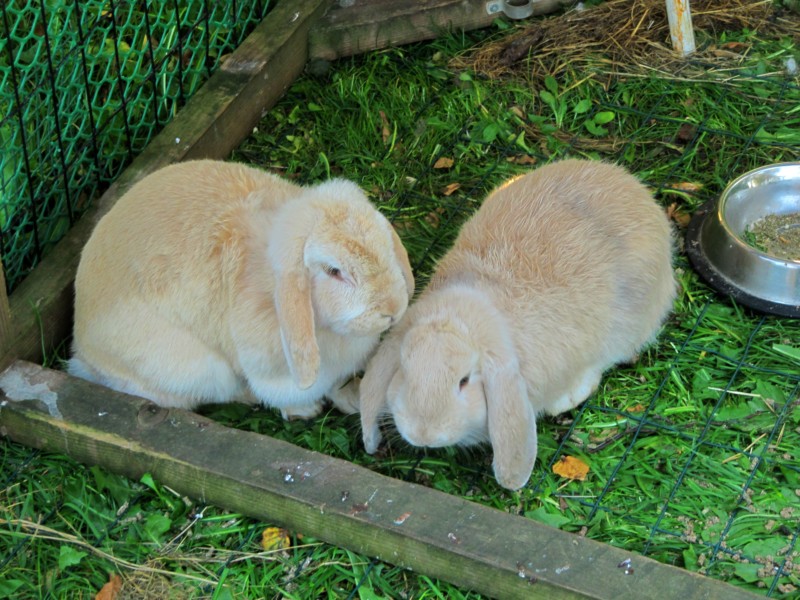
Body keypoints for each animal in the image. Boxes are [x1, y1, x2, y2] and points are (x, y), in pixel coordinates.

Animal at [69, 162, 416, 420]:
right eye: (334, 271)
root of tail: (84, 351)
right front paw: (306, 409)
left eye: (386, 243)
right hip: (199, 370)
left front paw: (352, 399)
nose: (393, 310)